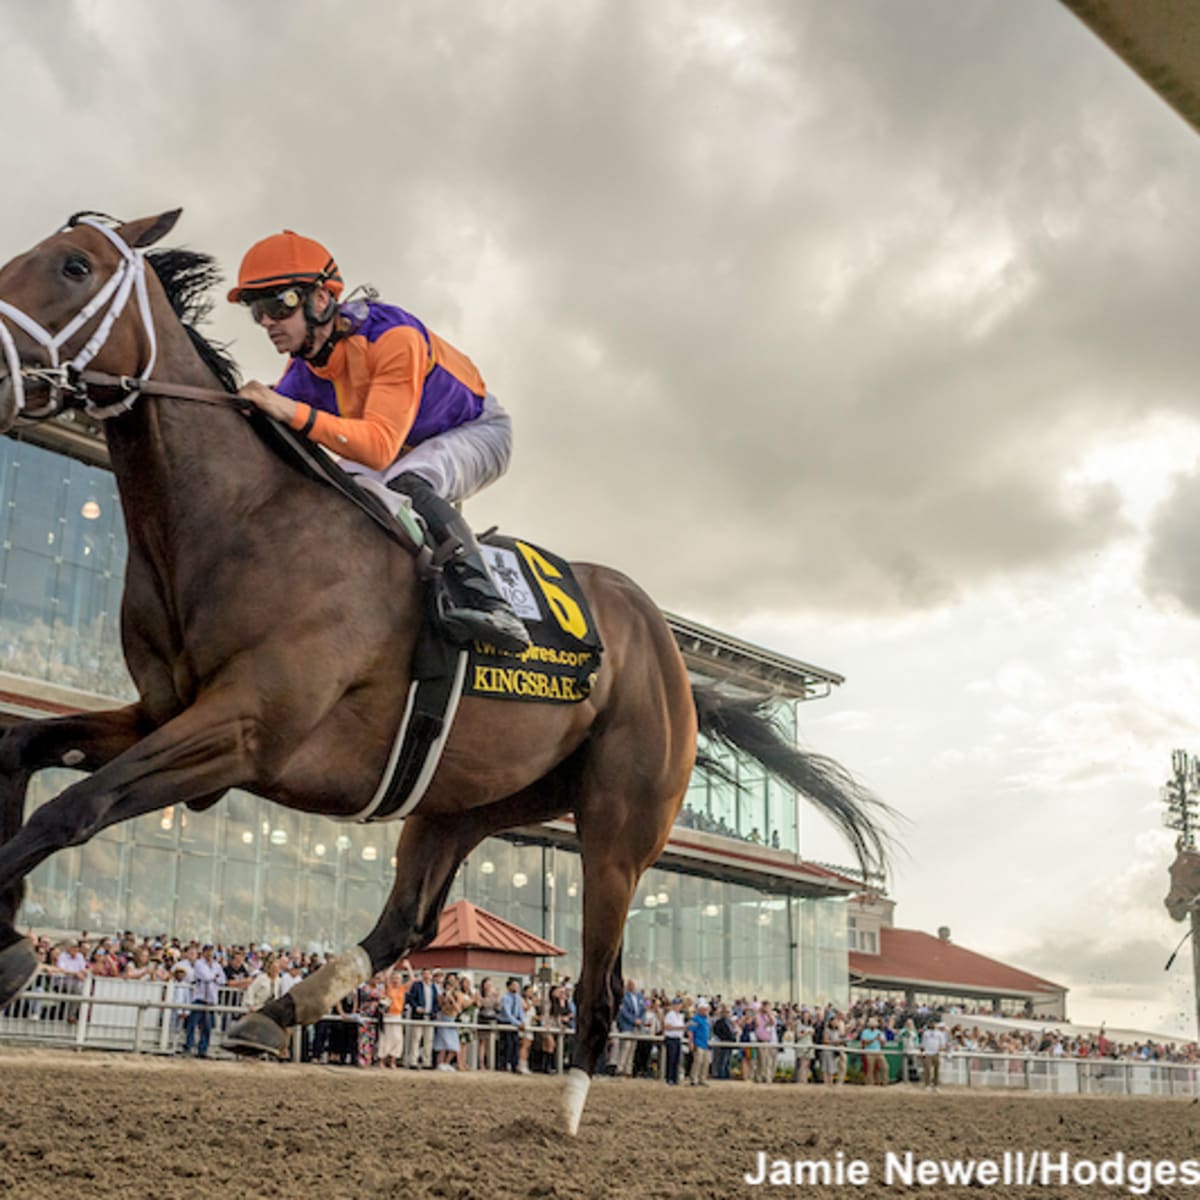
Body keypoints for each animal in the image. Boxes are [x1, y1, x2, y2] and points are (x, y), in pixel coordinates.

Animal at [0, 213, 892, 1132]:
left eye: (73, 267)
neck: (240, 522)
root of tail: (675, 660)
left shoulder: (243, 730)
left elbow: (74, 808)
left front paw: (3, 942)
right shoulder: (163, 711)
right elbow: (20, 746)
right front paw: (9, 940)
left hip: (618, 829)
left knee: (599, 982)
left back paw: (567, 1113)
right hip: (464, 801)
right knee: (411, 920)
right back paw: (279, 1009)